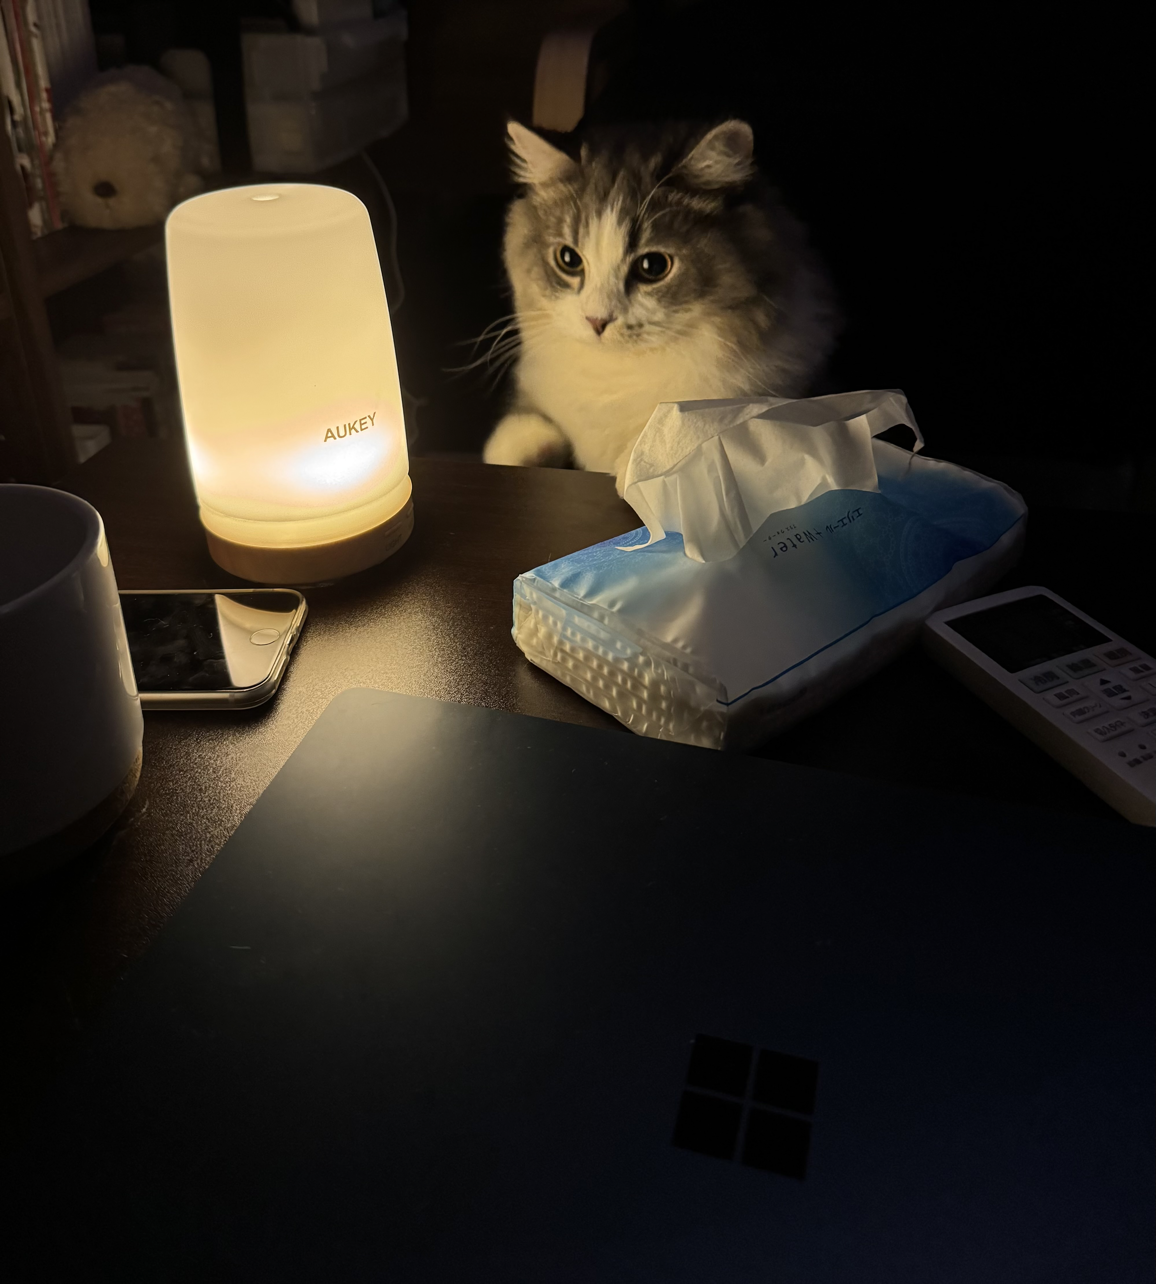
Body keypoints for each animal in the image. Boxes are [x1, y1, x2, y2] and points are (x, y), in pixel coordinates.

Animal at [481, 118, 840, 491]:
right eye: (568, 259)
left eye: (652, 266)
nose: (596, 321)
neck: (618, 376)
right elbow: (520, 435)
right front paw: (526, 445)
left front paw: (643, 463)